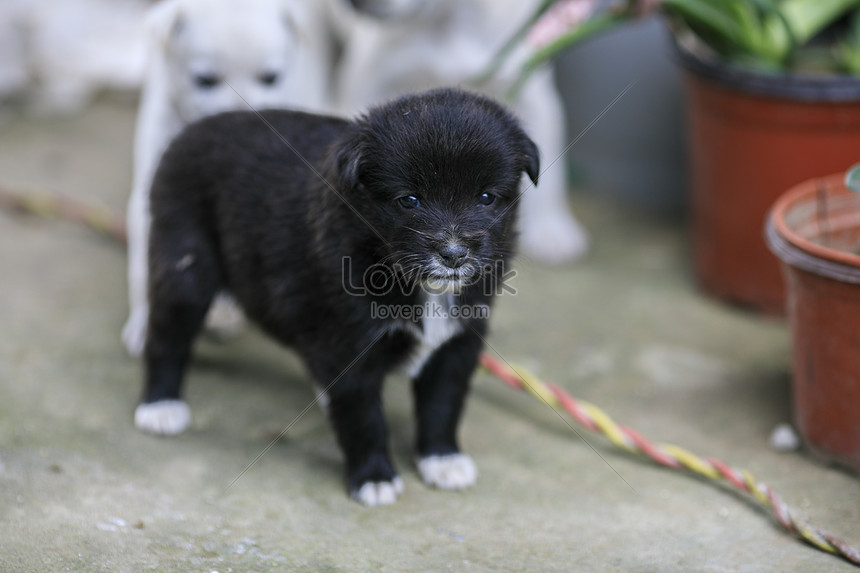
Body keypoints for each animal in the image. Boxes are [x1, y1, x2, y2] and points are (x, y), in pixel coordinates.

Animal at [136, 87, 536, 502]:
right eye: (409, 200)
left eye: (487, 197)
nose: (454, 254)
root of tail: (191, 131)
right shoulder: (348, 346)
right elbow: (364, 417)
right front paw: (374, 478)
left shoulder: (457, 343)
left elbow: (443, 402)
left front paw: (442, 459)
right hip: (185, 267)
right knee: (166, 335)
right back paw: (160, 406)